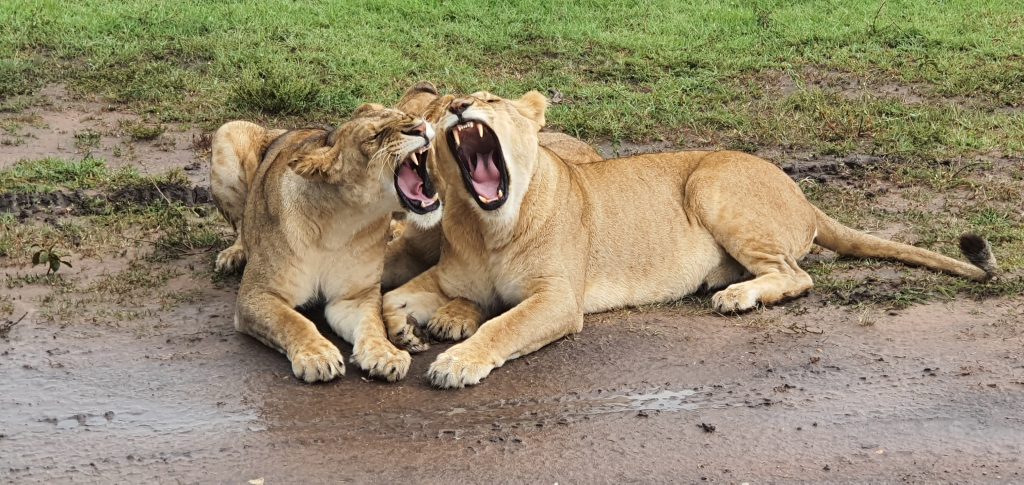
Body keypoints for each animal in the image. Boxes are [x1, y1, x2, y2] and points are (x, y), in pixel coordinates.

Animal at [209, 105, 438, 382]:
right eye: (373, 137)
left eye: (407, 116)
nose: (421, 127)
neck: (340, 223)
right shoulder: (257, 294)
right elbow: (293, 321)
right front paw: (317, 356)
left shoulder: (354, 297)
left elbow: (372, 325)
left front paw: (385, 354)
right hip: (227, 132)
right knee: (242, 222)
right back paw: (233, 255)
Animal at [380, 91, 995, 388]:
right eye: (449, 104)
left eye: (491, 100)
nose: (459, 107)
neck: (490, 226)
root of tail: (800, 192)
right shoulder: (445, 278)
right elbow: (390, 300)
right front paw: (402, 336)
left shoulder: (558, 299)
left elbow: (502, 325)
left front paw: (456, 362)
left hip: (711, 185)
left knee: (798, 274)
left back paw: (735, 296)